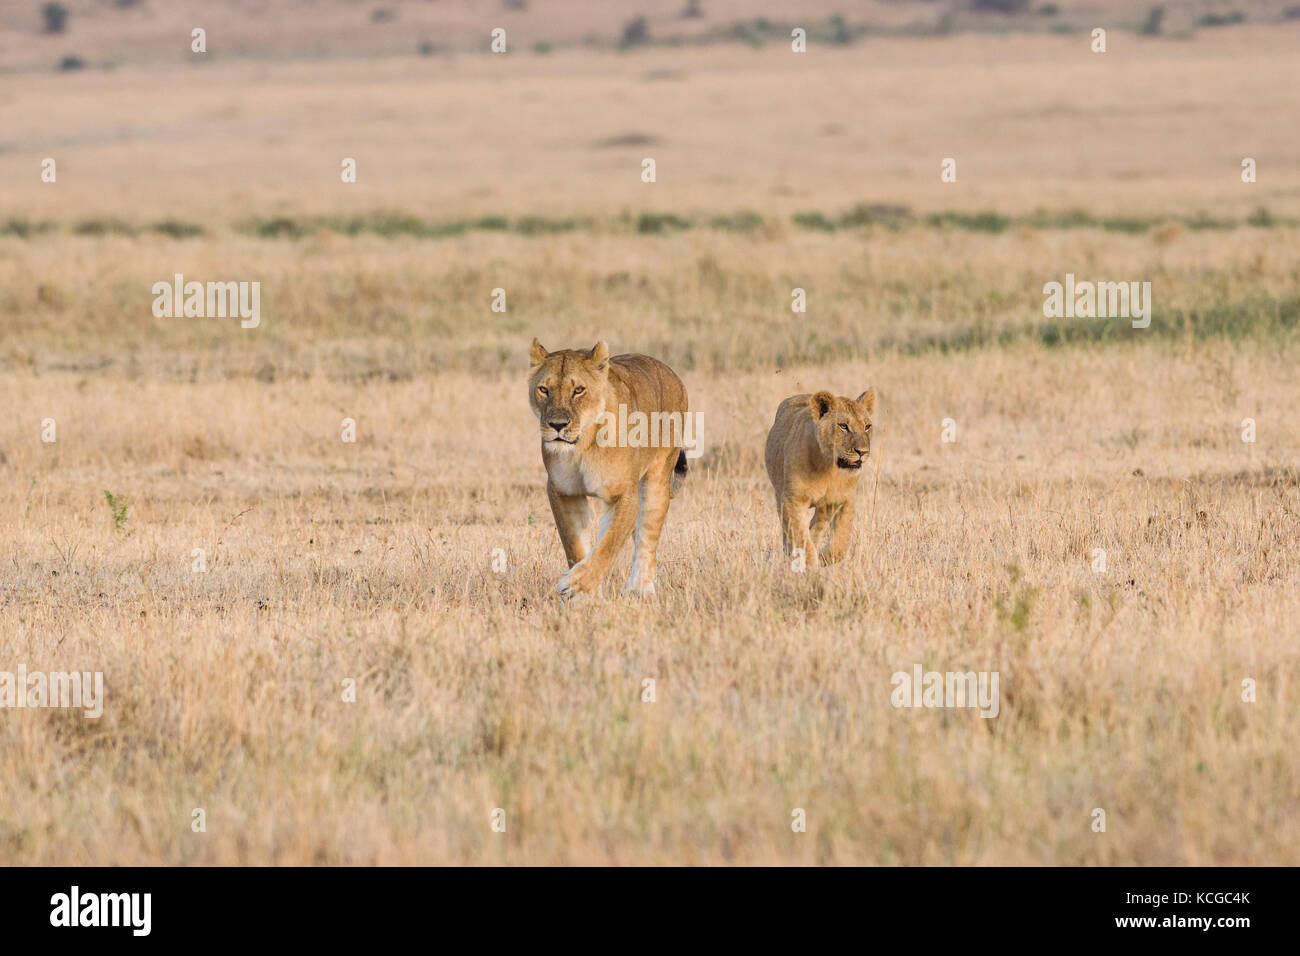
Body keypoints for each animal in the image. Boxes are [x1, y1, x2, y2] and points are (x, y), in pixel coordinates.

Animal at [528, 339, 690, 598]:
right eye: (544, 389)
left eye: (578, 390)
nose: (557, 425)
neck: (581, 446)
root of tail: (671, 372)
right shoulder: (563, 492)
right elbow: (576, 546)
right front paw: (586, 597)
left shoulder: (625, 495)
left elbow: (609, 546)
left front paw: (575, 584)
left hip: (657, 481)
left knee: (647, 538)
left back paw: (640, 589)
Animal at [764, 387, 876, 568]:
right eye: (843, 426)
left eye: (867, 426)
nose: (862, 452)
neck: (828, 468)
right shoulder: (792, 500)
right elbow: (800, 536)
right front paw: (808, 564)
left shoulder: (845, 500)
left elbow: (842, 539)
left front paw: (825, 558)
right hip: (779, 494)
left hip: (823, 507)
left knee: (818, 524)